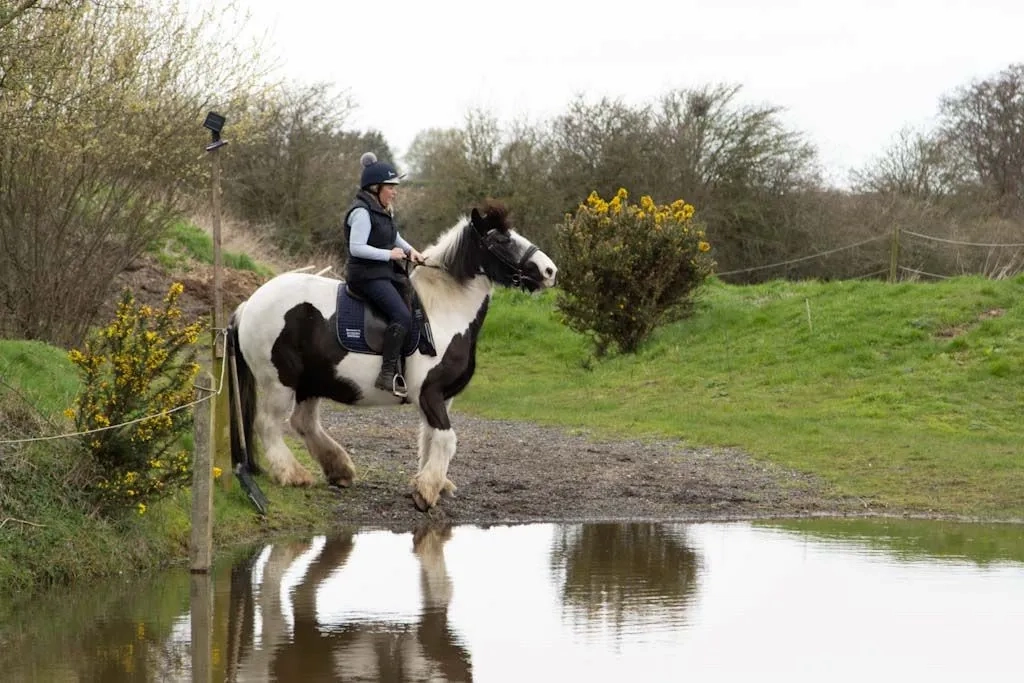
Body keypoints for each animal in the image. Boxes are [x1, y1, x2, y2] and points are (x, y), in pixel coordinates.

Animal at [227, 202, 558, 511]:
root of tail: (248, 304)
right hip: (279, 382)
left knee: (304, 423)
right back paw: (293, 474)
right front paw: (426, 491)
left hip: (312, 382)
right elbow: (446, 439)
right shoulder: (429, 392)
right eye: (501, 239)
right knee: (268, 424)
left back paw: (339, 469)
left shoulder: (442, 397)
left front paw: (434, 483)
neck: (444, 311)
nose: (550, 271)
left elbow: (429, 438)